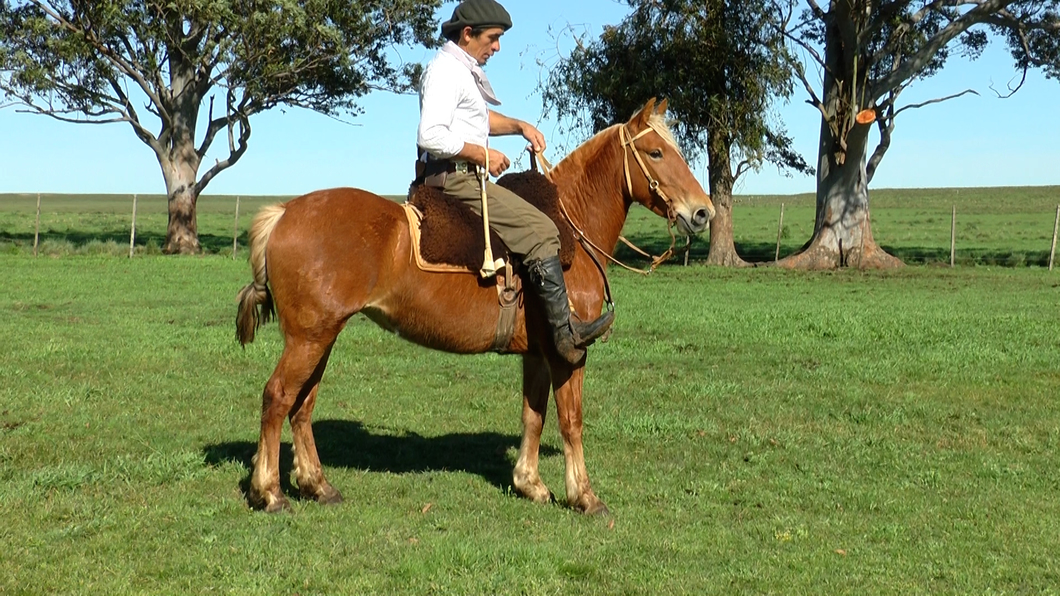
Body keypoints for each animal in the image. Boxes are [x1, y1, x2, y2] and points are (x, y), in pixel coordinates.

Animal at [236, 96, 716, 511]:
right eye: (655, 152)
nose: (703, 212)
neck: (572, 230)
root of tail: (283, 214)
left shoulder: (537, 354)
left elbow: (533, 415)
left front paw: (530, 483)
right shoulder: (568, 351)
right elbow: (571, 420)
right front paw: (584, 496)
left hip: (321, 336)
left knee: (302, 405)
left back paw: (316, 485)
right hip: (309, 338)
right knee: (278, 397)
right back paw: (270, 492)